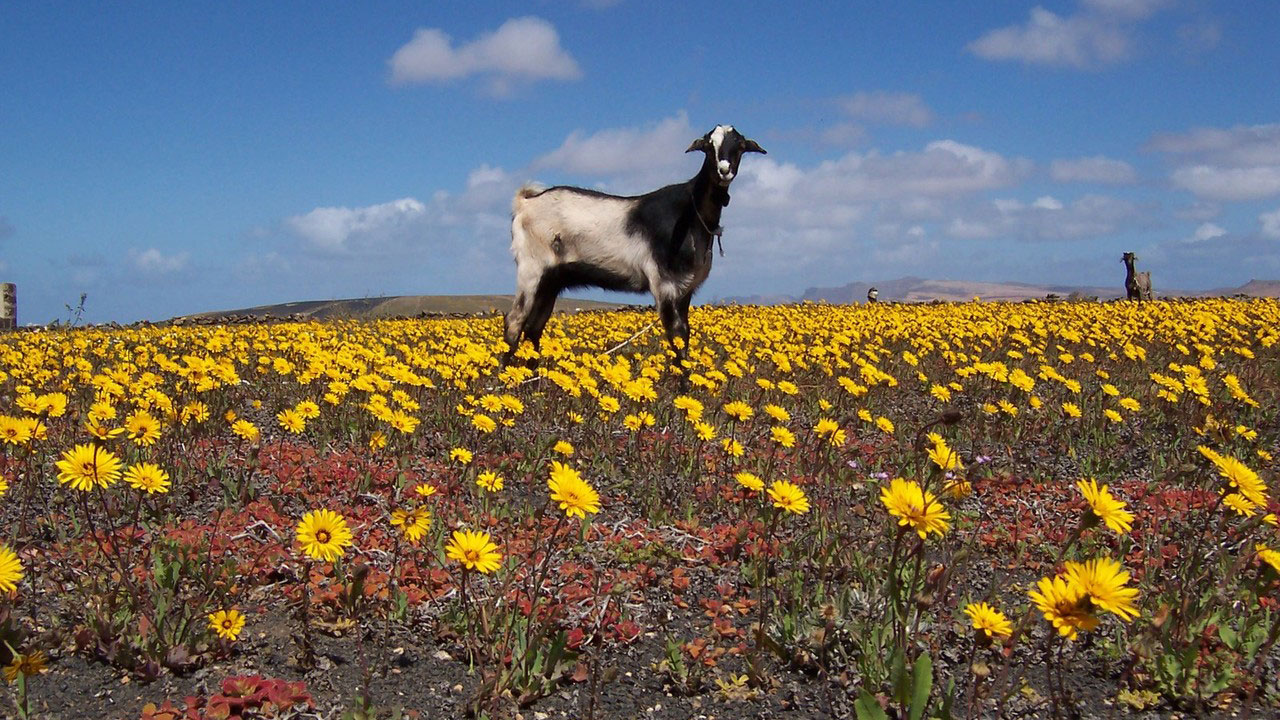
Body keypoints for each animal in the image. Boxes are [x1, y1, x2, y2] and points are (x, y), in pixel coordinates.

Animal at [501, 125, 766, 372]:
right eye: (709, 146)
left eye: (740, 146)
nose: (724, 170)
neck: (691, 214)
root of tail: (525, 202)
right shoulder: (664, 284)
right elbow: (677, 336)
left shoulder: (685, 288)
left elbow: (685, 337)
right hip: (531, 268)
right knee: (514, 321)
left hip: (552, 280)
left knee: (533, 328)